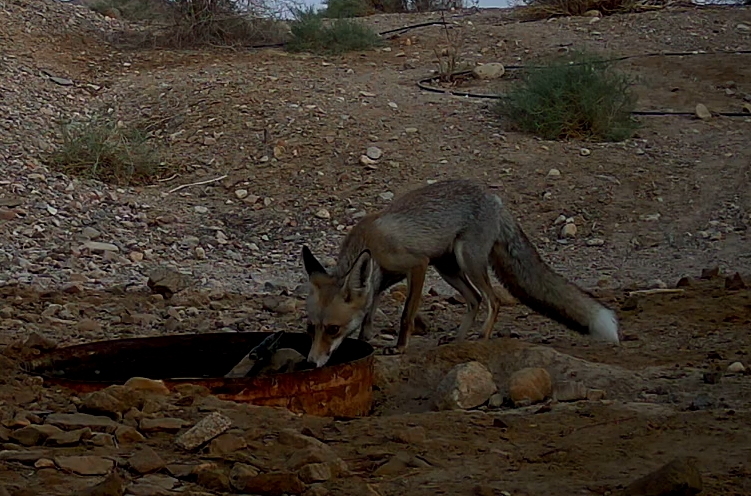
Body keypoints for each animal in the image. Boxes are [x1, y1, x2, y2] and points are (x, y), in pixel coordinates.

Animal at [302, 179, 620, 368]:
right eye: (311, 328)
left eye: (333, 329)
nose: (310, 363)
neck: (370, 244)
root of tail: (495, 200)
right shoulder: (376, 283)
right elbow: (367, 316)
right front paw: (366, 340)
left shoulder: (417, 265)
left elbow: (405, 315)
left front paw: (400, 347)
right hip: (448, 268)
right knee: (475, 299)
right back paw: (458, 338)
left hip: (467, 261)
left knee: (493, 300)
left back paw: (482, 336)